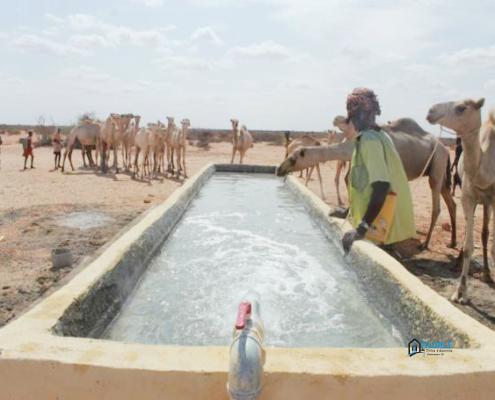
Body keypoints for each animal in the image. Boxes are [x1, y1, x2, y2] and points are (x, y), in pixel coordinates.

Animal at [276, 115, 458, 250]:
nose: (279, 169)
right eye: (289, 155)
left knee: (437, 206)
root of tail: (444, 148)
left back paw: (425, 244)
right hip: (440, 171)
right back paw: (452, 242)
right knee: (451, 203)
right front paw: (341, 212)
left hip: (437, 165)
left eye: (292, 159)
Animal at [428, 97, 494, 304]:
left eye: (461, 108)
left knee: (485, 232)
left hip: (487, 203)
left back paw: (487, 273)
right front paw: (460, 292)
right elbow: (467, 246)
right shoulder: (468, 197)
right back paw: (458, 262)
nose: (431, 111)